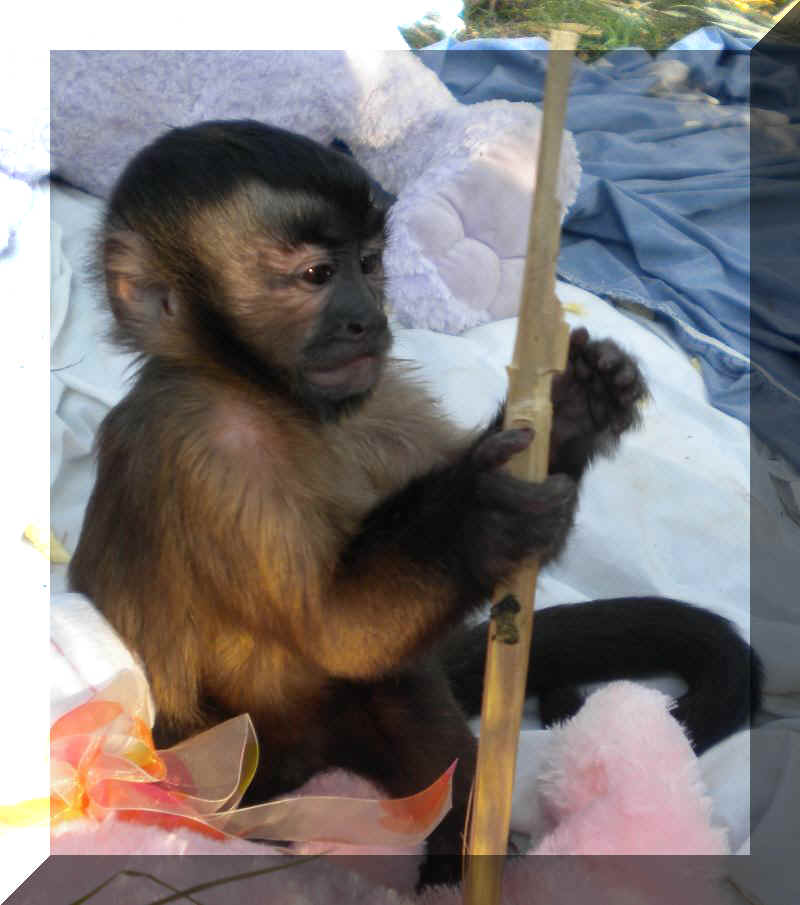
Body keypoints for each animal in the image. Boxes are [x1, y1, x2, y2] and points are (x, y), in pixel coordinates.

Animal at [67, 120, 760, 887]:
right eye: (318, 276)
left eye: (371, 265)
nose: (367, 319)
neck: (272, 398)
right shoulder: (211, 449)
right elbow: (338, 630)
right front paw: (477, 520)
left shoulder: (379, 399)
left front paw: (576, 411)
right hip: (212, 763)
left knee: (403, 694)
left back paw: (458, 863)